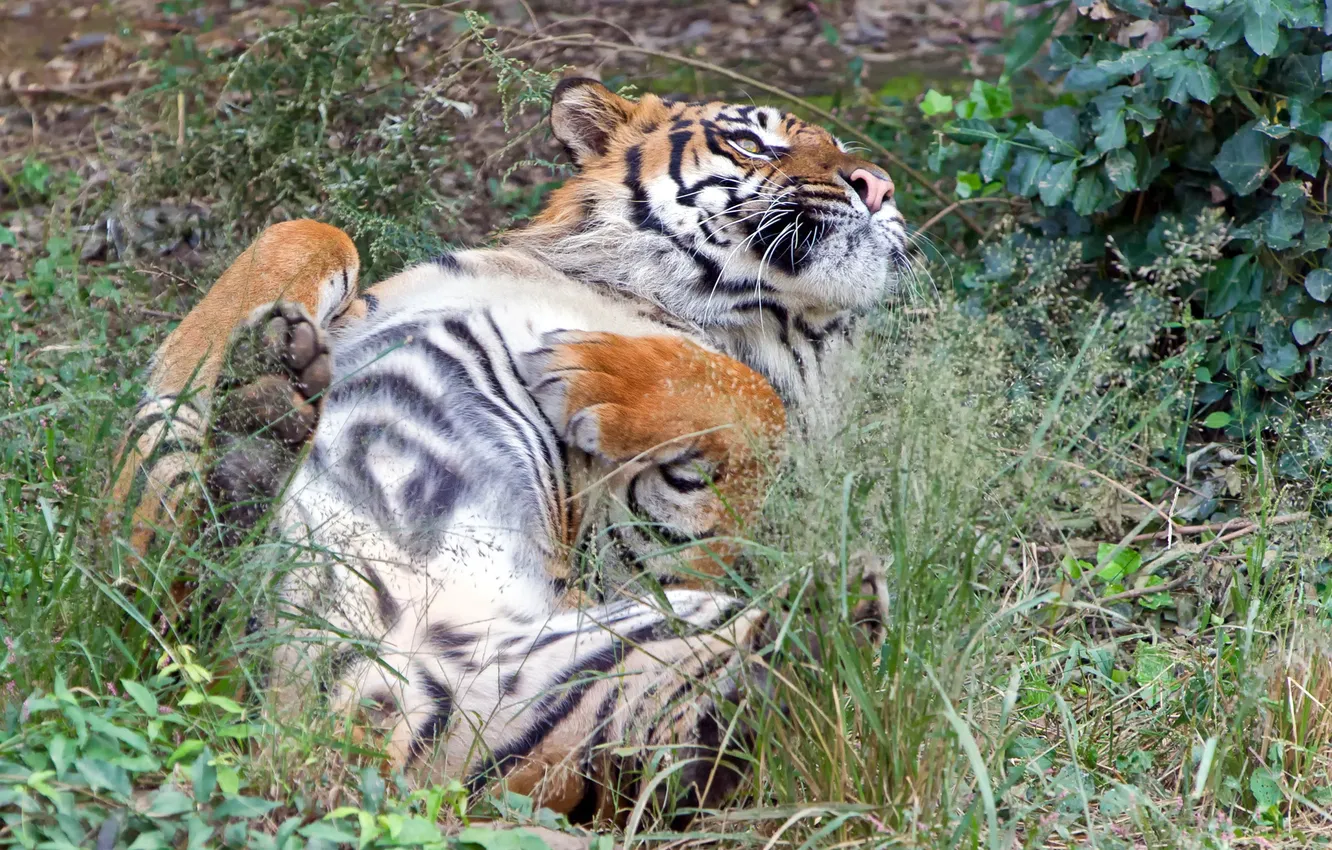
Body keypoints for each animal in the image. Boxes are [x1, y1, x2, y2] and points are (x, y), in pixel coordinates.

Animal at [107, 78, 908, 823]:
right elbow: (308, 233)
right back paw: (257, 413)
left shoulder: (635, 560)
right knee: (178, 605)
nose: (879, 186)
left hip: (612, 675)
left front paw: (586, 364)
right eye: (752, 141)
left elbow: (755, 402)